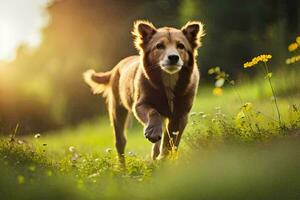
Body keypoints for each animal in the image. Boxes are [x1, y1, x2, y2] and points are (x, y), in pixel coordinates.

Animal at [83, 19, 205, 162]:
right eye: (159, 46)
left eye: (181, 46)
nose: (173, 57)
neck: (168, 82)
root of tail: (115, 68)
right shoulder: (140, 104)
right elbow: (152, 112)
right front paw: (152, 132)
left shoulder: (181, 114)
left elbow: (170, 140)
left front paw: (163, 158)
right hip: (117, 111)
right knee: (120, 142)